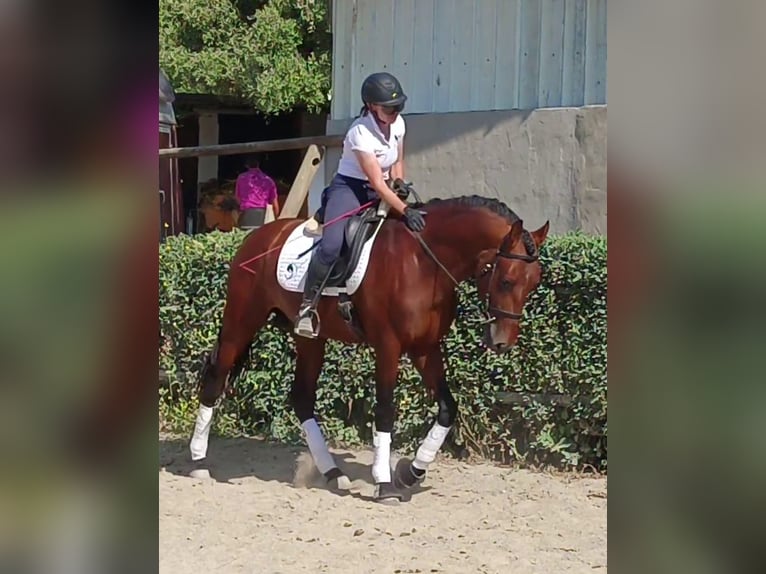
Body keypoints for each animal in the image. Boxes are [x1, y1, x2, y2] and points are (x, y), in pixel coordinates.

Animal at [189, 193, 549, 502]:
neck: (423, 261)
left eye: (534, 283)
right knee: (216, 379)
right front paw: (385, 483)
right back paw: (198, 462)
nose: (502, 341)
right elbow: (385, 411)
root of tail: (259, 235)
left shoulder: (425, 348)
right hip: (242, 321)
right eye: (507, 280)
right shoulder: (388, 346)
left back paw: (334, 474)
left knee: (302, 398)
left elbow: (448, 408)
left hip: (310, 339)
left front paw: (410, 472)